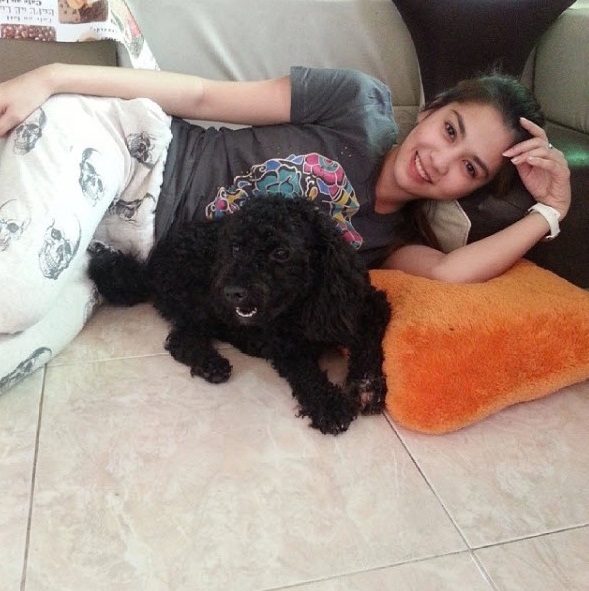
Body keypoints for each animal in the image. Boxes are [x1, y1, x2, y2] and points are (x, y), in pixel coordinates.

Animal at [88, 194, 391, 435]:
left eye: (281, 252)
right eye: (235, 248)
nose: (232, 292)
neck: (303, 306)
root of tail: (150, 266)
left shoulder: (369, 306)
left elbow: (367, 346)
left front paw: (366, 387)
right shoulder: (284, 344)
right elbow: (305, 372)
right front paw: (328, 404)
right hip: (196, 301)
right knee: (181, 339)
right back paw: (212, 364)